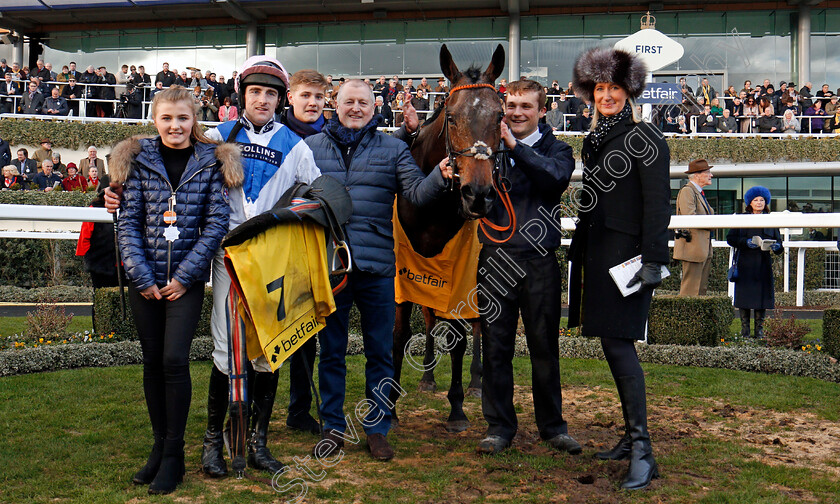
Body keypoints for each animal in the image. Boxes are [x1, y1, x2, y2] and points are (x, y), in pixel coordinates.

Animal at [390, 43, 502, 434]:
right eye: (451, 117)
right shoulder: (403, 273)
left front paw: (456, 409)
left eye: (500, 116)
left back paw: (477, 381)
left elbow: (458, 336)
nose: (478, 194)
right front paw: (390, 407)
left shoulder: (460, 270)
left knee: (478, 323)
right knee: (429, 317)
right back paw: (427, 375)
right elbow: (400, 334)